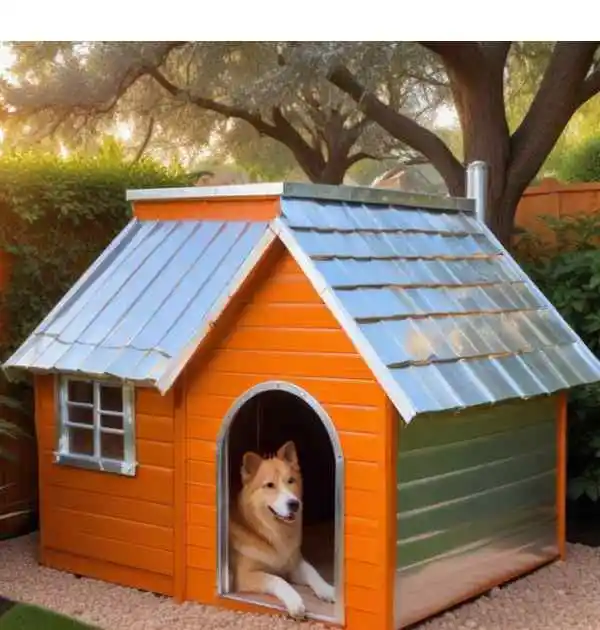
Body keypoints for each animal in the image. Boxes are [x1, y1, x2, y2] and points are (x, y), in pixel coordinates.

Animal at [229, 442, 336, 620]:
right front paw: (295, 602)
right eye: (270, 485)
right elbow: (278, 580)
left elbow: (313, 572)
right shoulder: (243, 575)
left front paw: (328, 590)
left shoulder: (294, 563)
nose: (294, 504)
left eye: (291, 481)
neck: (269, 533)